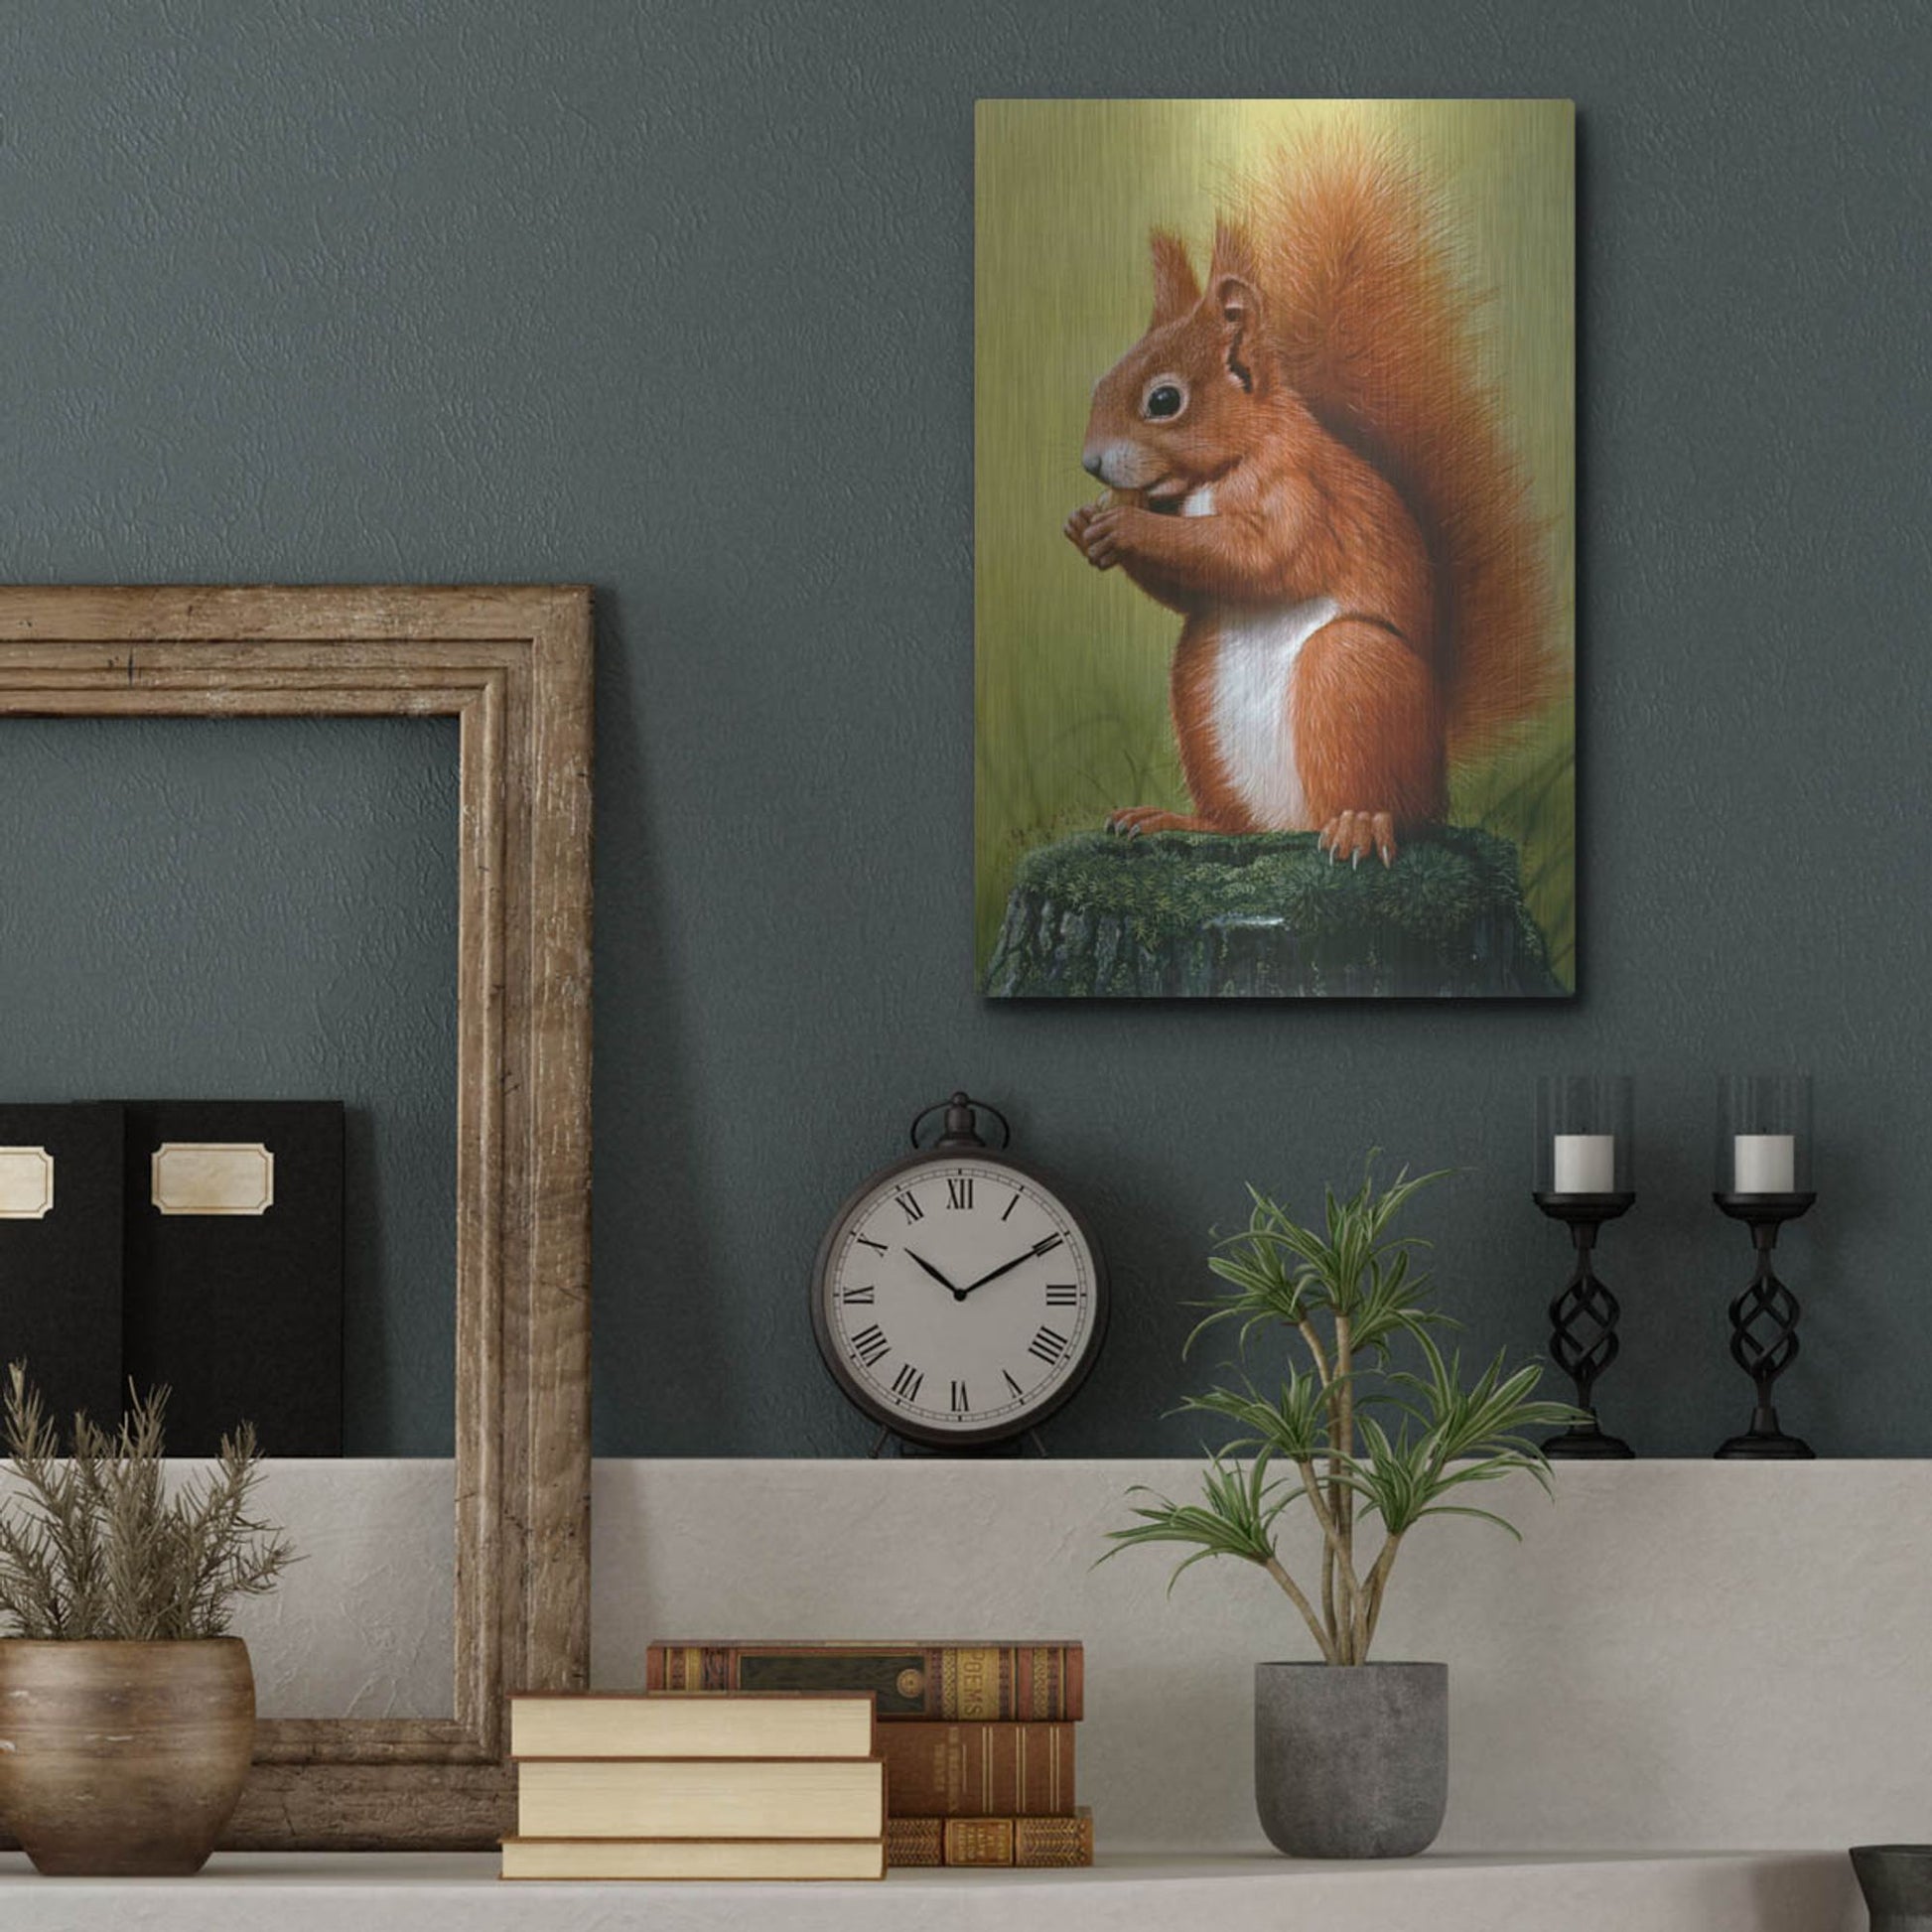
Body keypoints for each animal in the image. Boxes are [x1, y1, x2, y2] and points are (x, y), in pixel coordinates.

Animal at [1064, 130, 1555, 868]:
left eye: (1164, 400)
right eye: (1101, 381)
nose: (1091, 464)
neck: (1221, 472)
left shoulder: (1302, 495)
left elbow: (1262, 557)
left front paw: (1123, 525)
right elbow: (1192, 587)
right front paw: (1086, 526)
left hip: (1352, 673)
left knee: (1392, 806)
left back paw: (1361, 824)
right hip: (1196, 688)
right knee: (1239, 823)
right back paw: (1180, 820)